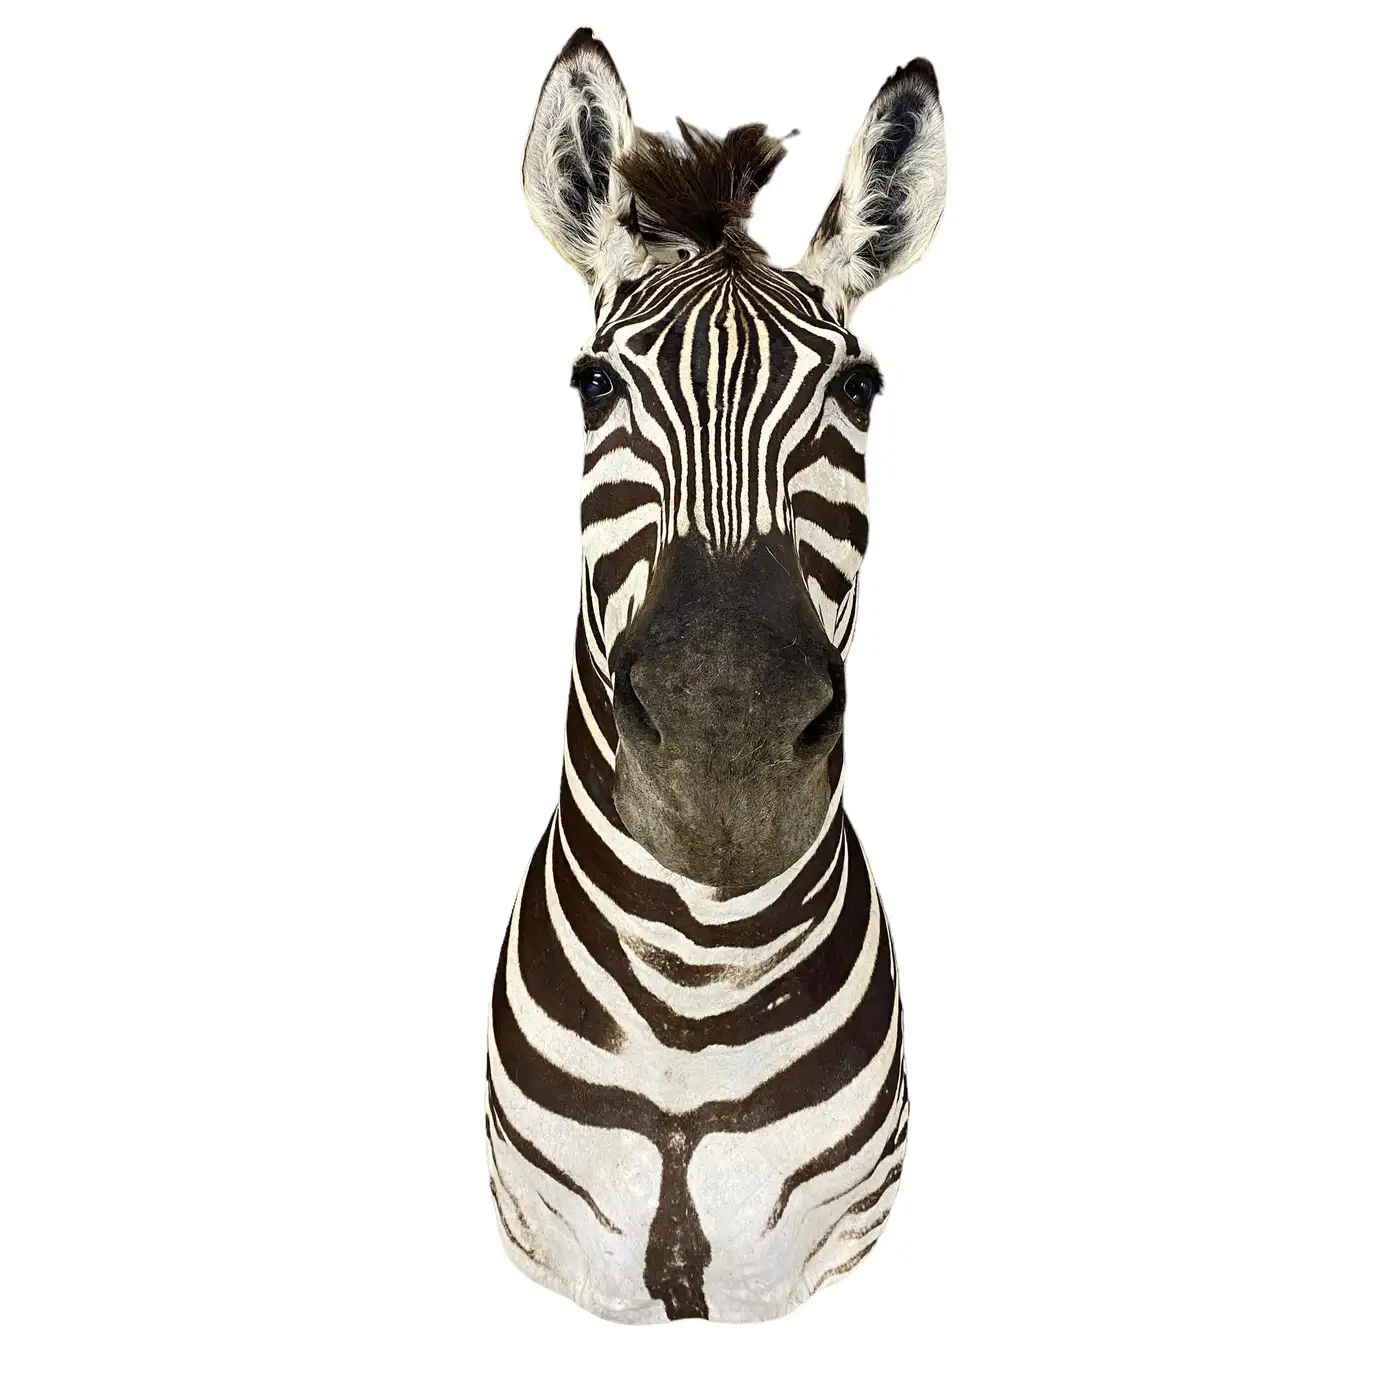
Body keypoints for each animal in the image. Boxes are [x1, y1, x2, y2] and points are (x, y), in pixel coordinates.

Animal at [487, 28, 946, 1323]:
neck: (695, 978)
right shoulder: (552, 1236)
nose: (722, 758)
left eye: (859, 389)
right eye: (593, 384)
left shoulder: (823, 1242)